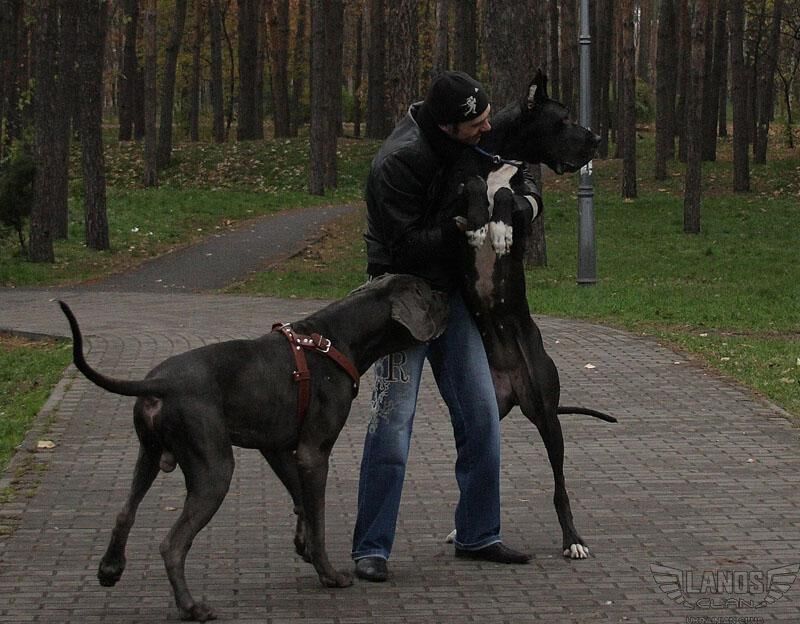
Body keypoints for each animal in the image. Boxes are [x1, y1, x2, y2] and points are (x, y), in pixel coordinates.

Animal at [59, 274, 448, 622]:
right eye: (428, 291)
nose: (448, 297)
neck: (336, 339)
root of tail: (160, 382)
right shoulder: (314, 452)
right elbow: (318, 517)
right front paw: (328, 573)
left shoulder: (277, 447)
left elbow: (302, 503)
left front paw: (303, 546)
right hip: (214, 469)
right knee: (172, 544)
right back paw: (192, 608)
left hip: (148, 455)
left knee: (125, 511)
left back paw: (110, 568)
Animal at [445, 70, 616, 560]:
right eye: (564, 118)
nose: (598, 138)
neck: (499, 157)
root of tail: (511, 385)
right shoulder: (452, 197)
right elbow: (472, 189)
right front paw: (480, 222)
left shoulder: (522, 205)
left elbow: (506, 195)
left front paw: (498, 228)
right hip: (481, 414)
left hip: (548, 414)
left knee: (559, 486)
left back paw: (573, 539)